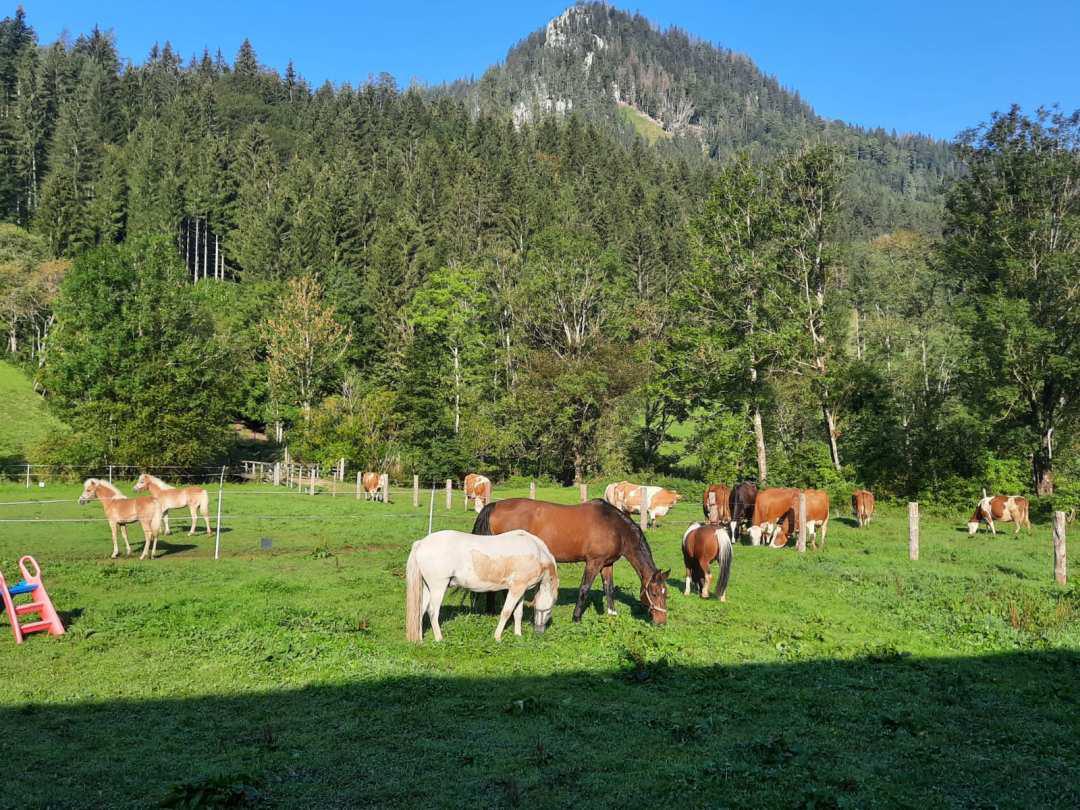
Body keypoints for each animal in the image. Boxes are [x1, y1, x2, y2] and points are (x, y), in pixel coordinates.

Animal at [403, 533, 557, 648]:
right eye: (549, 610)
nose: (539, 632)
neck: (537, 552)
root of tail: (422, 543)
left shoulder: (520, 590)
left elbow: (517, 613)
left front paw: (518, 635)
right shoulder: (516, 589)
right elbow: (506, 612)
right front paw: (497, 637)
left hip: (427, 588)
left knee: (420, 611)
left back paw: (419, 640)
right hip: (438, 587)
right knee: (432, 611)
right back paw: (439, 638)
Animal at [473, 501, 665, 626]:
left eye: (666, 593)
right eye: (654, 593)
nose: (662, 622)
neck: (614, 526)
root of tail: (495, 505)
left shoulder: (607, 564)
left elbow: (609, 588)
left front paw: (612, 614)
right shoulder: (594, 562)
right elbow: (584, 589)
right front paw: (577, 617)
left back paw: (491, 610)